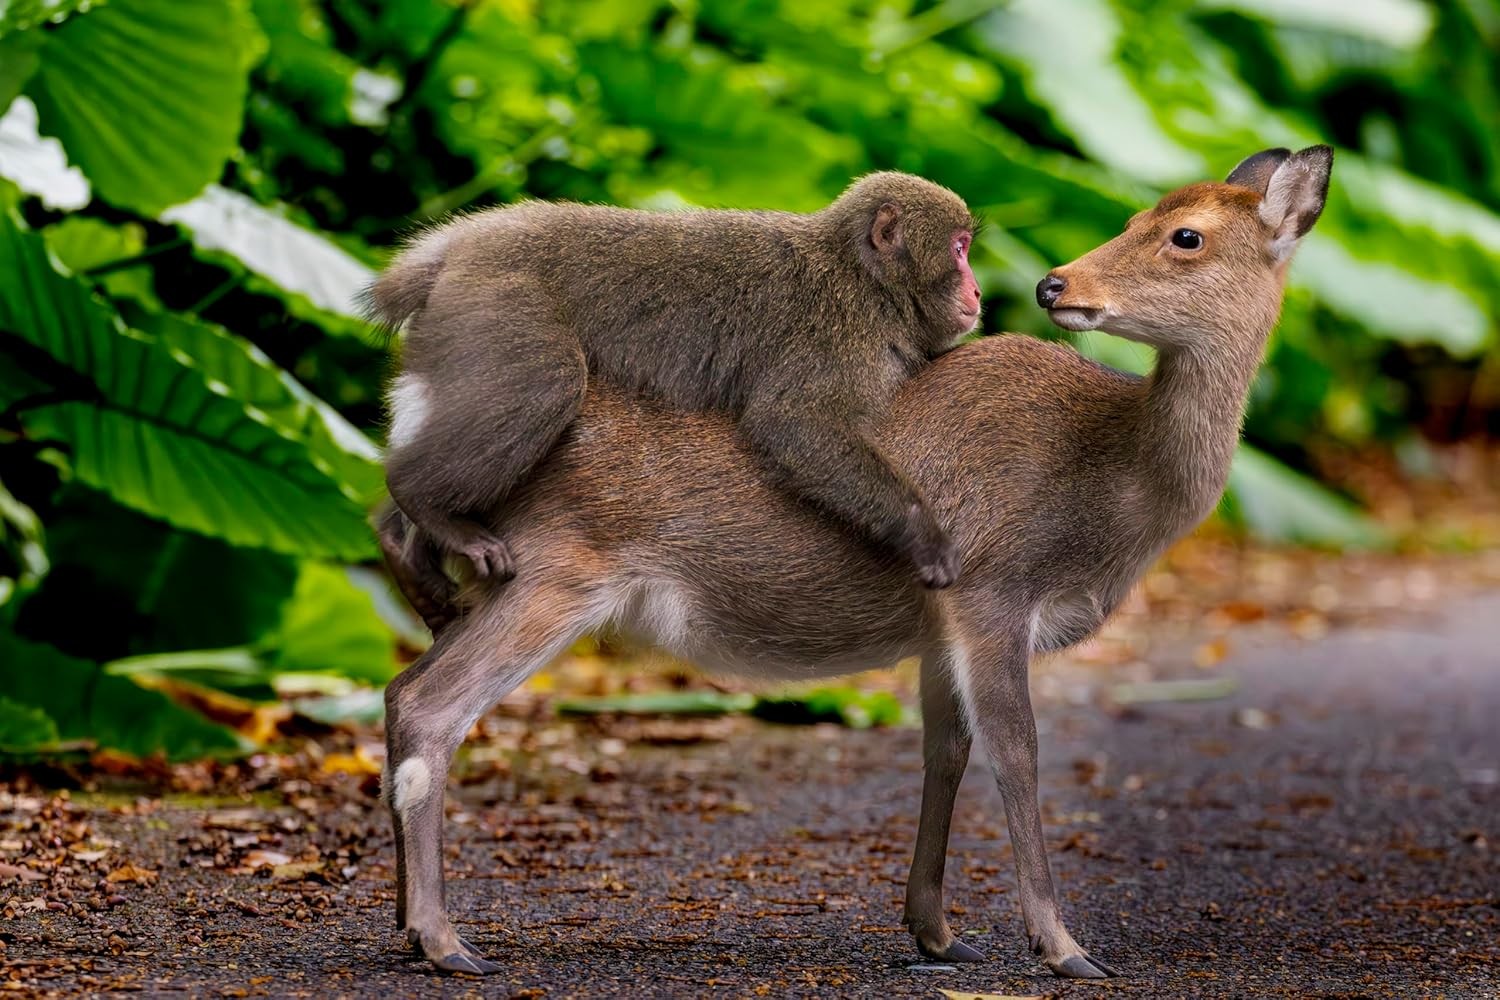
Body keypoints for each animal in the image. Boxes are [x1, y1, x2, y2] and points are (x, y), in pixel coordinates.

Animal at [369, 172, 982, 604]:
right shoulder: (840, 336)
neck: (868, 281)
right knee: (549, 382)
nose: (977, 291)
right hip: (498, 301)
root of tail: (461, 244)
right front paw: (925, 535)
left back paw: (408, 541)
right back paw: (424, 503)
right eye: (959, 248)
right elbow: (793, 425)